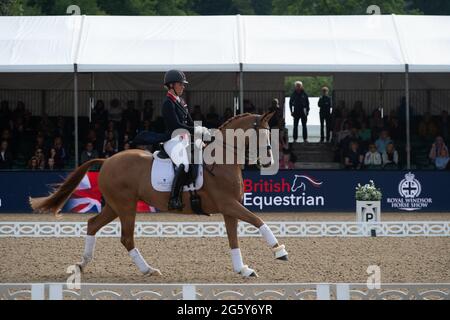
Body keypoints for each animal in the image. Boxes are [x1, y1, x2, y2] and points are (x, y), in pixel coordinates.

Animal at [29, 112, 288, 278]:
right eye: (263, 134)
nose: (269, 161)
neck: (222, 160)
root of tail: (107, 160)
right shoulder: (228, 204)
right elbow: (259, 221)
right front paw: (279, 252)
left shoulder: (229, 208)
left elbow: (234, 239)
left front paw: (242, 269)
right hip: (125, 206)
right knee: (126, 238)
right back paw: (148, 270)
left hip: (114, 205)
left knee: (93, 224)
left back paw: (82, 264)